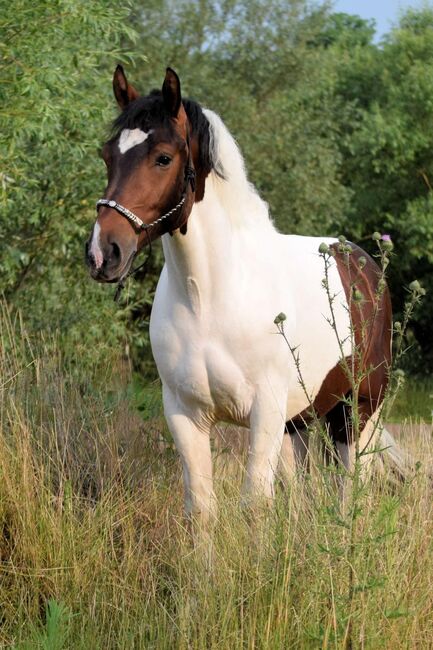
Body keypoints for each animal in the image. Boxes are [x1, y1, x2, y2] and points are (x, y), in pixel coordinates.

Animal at [84, 66, 392, 520]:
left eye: (163, 158)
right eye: (108, 156)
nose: (103, 253)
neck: (209, 297)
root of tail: (365, 266)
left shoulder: (265, 414)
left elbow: (255, 504)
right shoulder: (186, 415)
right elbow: (202, 507)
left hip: (358, 411)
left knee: (351, 488)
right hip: (300, 420)